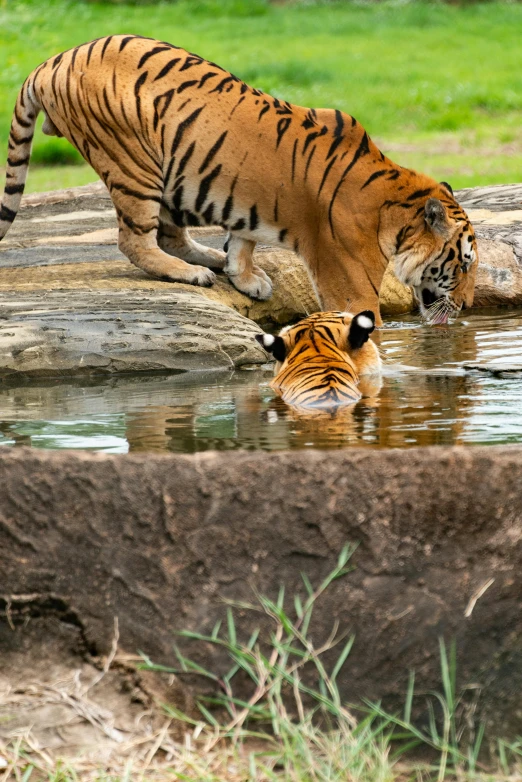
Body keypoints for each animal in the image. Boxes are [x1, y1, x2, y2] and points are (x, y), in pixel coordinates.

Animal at [0, 34, 478, 324]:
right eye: (464, 264)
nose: (469, 304)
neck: (393, 206)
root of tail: (50, 62)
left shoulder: (246, 197)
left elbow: (243, 238)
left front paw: (245, 276)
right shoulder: (351, 285)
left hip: (170, 173)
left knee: (170, 234)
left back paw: (208, 259)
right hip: (133, 163)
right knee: (135, 240)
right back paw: (189, 274)